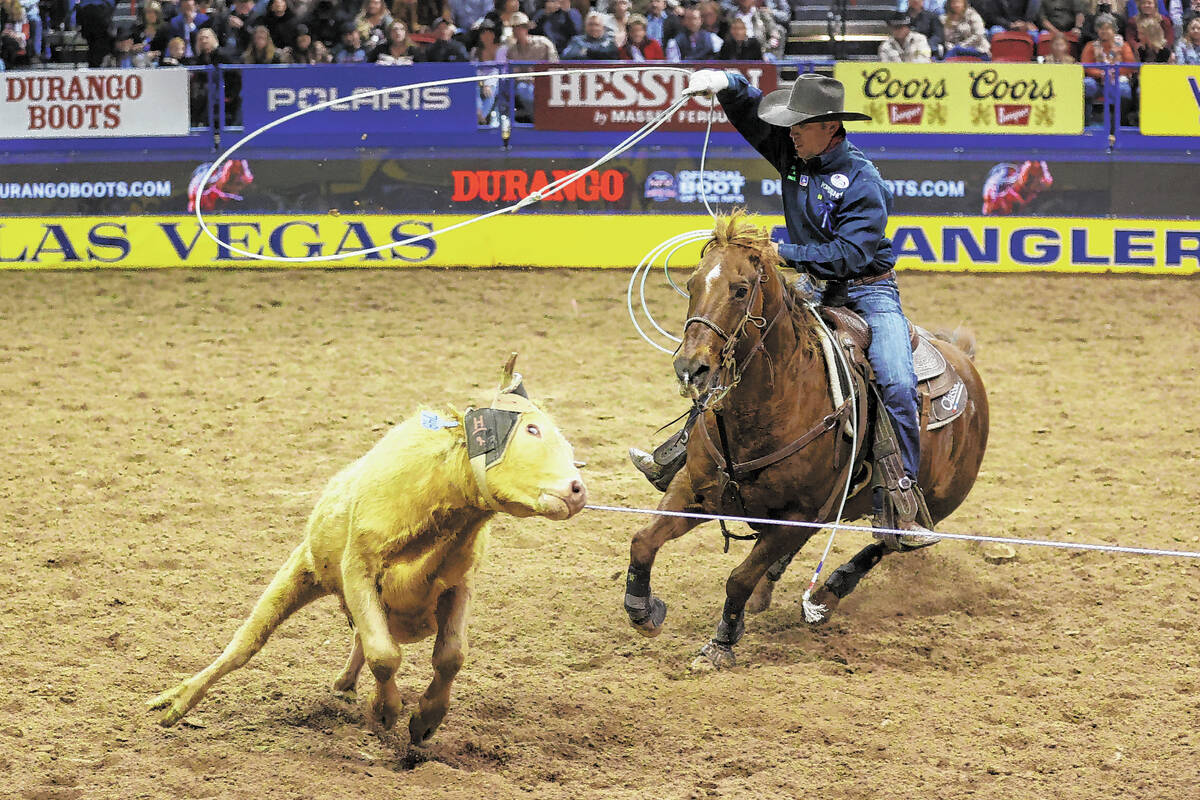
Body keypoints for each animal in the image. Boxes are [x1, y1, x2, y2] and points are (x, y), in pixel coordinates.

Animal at [624, 212, 988, 671]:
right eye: (692, 284)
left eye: (740, 289)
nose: (692, 368)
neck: (773, 405)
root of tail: (963, 361)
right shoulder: (694, 488)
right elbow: (644, 540)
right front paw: (642, 610)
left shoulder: (799, 514)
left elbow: (738, 577)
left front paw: (720, 643)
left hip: (935, 505)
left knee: (886, 543)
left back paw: (829, 593)